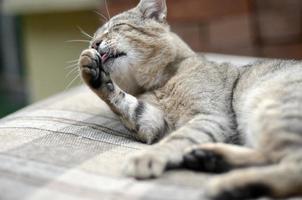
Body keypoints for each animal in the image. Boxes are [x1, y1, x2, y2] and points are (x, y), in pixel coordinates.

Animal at [78, 0, 302, 199]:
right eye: (94, 39)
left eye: (116, 27)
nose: (94, 44)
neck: (160, 85)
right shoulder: (155, 123)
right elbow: (126, 104)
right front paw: (91, 69)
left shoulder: (211, 116)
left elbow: (178, 138)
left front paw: (148, 156)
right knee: (270, 157)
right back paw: (210, 159)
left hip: (272, 108)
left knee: (292, 168)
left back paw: (229, 183)